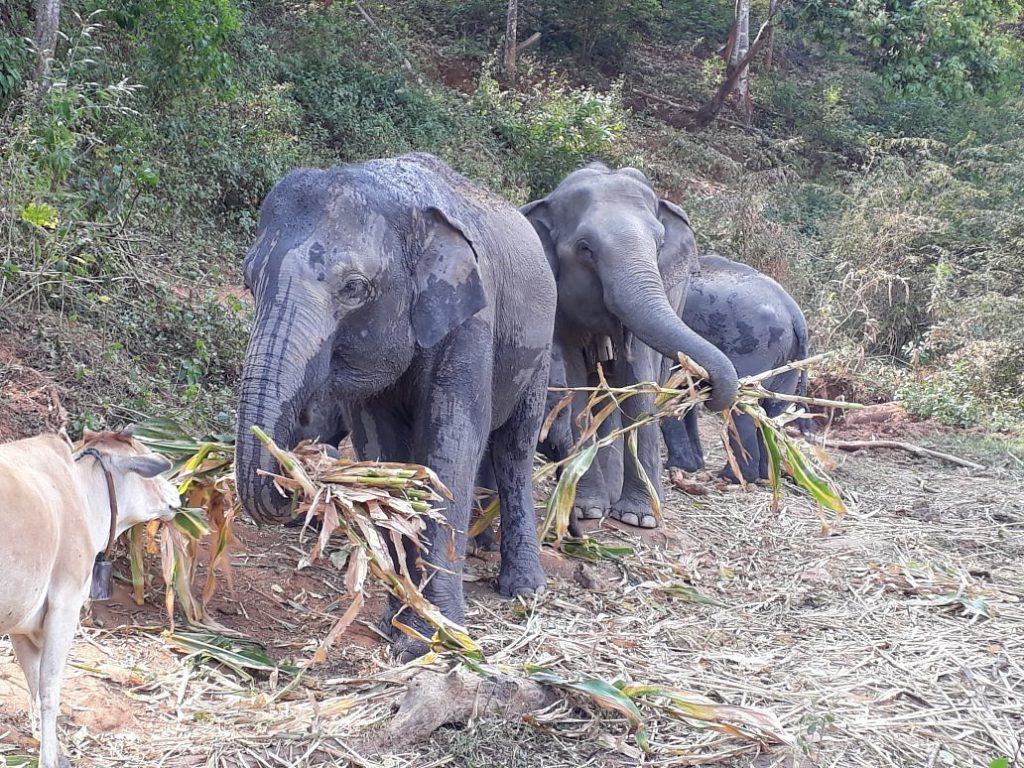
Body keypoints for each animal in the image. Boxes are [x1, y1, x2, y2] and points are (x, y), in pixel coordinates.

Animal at [234, 152, 557, 658]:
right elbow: (381, 456)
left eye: (354, 288)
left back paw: (524, 588)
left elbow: (449, 446)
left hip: (539, 350)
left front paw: (434, 638)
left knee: (515, 449)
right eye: (249, 282)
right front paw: (398, 625)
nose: (296, 467)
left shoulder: (472, 321)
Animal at [521, 164, 739, 529]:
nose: (705, 387)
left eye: (659, 243)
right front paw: (588, 509)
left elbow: (639, 382)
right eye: (585, 248)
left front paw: (640, 518)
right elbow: (577, 384)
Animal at [661, 254, 809, 482]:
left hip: (753, 348)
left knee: (741, 406)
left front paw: (679, 466)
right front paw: (692, 466)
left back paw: (732, 476)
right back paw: (766, 475)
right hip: (788, 360)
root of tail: (795, 314)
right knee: (772, 410)